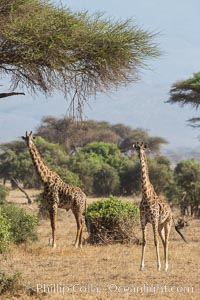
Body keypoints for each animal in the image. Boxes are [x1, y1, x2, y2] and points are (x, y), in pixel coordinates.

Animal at [133, 142, 188, 270]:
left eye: (143, 149)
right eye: (136, 149)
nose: (140, 155)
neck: (146, 194)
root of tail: (171, 211)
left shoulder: (153, 220)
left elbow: (155, 241)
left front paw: (158, 265)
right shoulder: (143, 220)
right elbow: (144, 241)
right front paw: (141, 266)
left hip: (167, 223)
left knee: (166, 241)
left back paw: (165, 266)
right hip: (160, 226)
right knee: (163, 241)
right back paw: (164, 265)